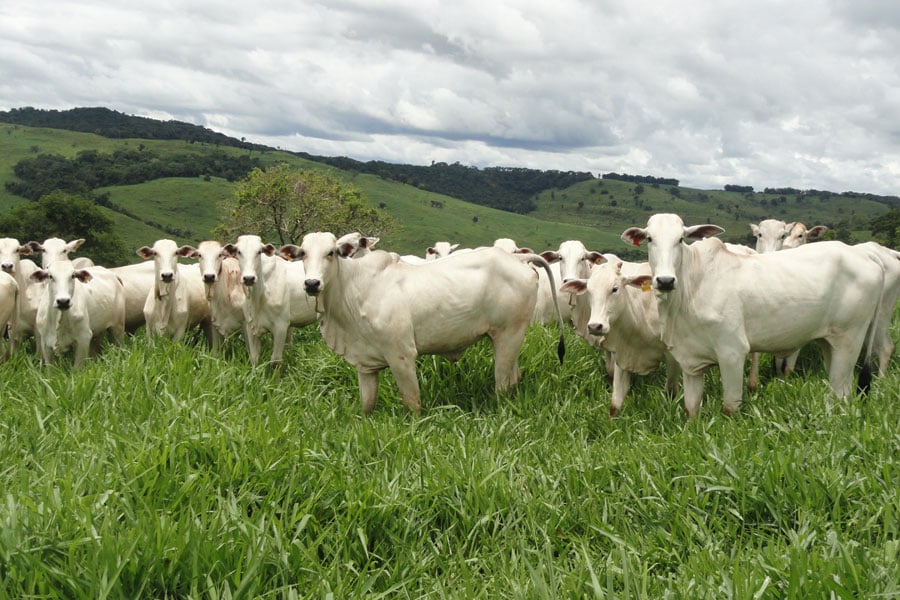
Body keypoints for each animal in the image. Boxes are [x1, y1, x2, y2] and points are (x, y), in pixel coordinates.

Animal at [223, 234, 318, 366]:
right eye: (239, 252)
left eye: (259, 251)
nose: (249, 278)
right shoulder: (250, 326)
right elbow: (254, 358)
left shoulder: (281, 327)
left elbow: (276, 360)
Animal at [282, 232, 564, 414]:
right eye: (303, 253)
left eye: (331, 253)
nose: (312, 283)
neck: (353, 288)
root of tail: (519, 259)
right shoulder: (365, 365)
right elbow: (367, 406)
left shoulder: (402, 356)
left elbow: (412, 402)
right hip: (509, 339)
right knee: (515, 377)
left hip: (509, 336)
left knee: (504, 384)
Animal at [560, 260, 680, 420]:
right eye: (589, 291)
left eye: (614, 289)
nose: (595, 326)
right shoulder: (623, 354)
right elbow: (615, 404)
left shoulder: (673, 356)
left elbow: (671, 391)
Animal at [624, 214, 884, 418]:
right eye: (649, 238)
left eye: (680, 239)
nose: (665, 281)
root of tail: (866, 256)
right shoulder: (690, 362)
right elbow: (691, 409)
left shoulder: (732, 353)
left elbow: (730, 407)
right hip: (829, 343)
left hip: (849, 340)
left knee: (839, 391)